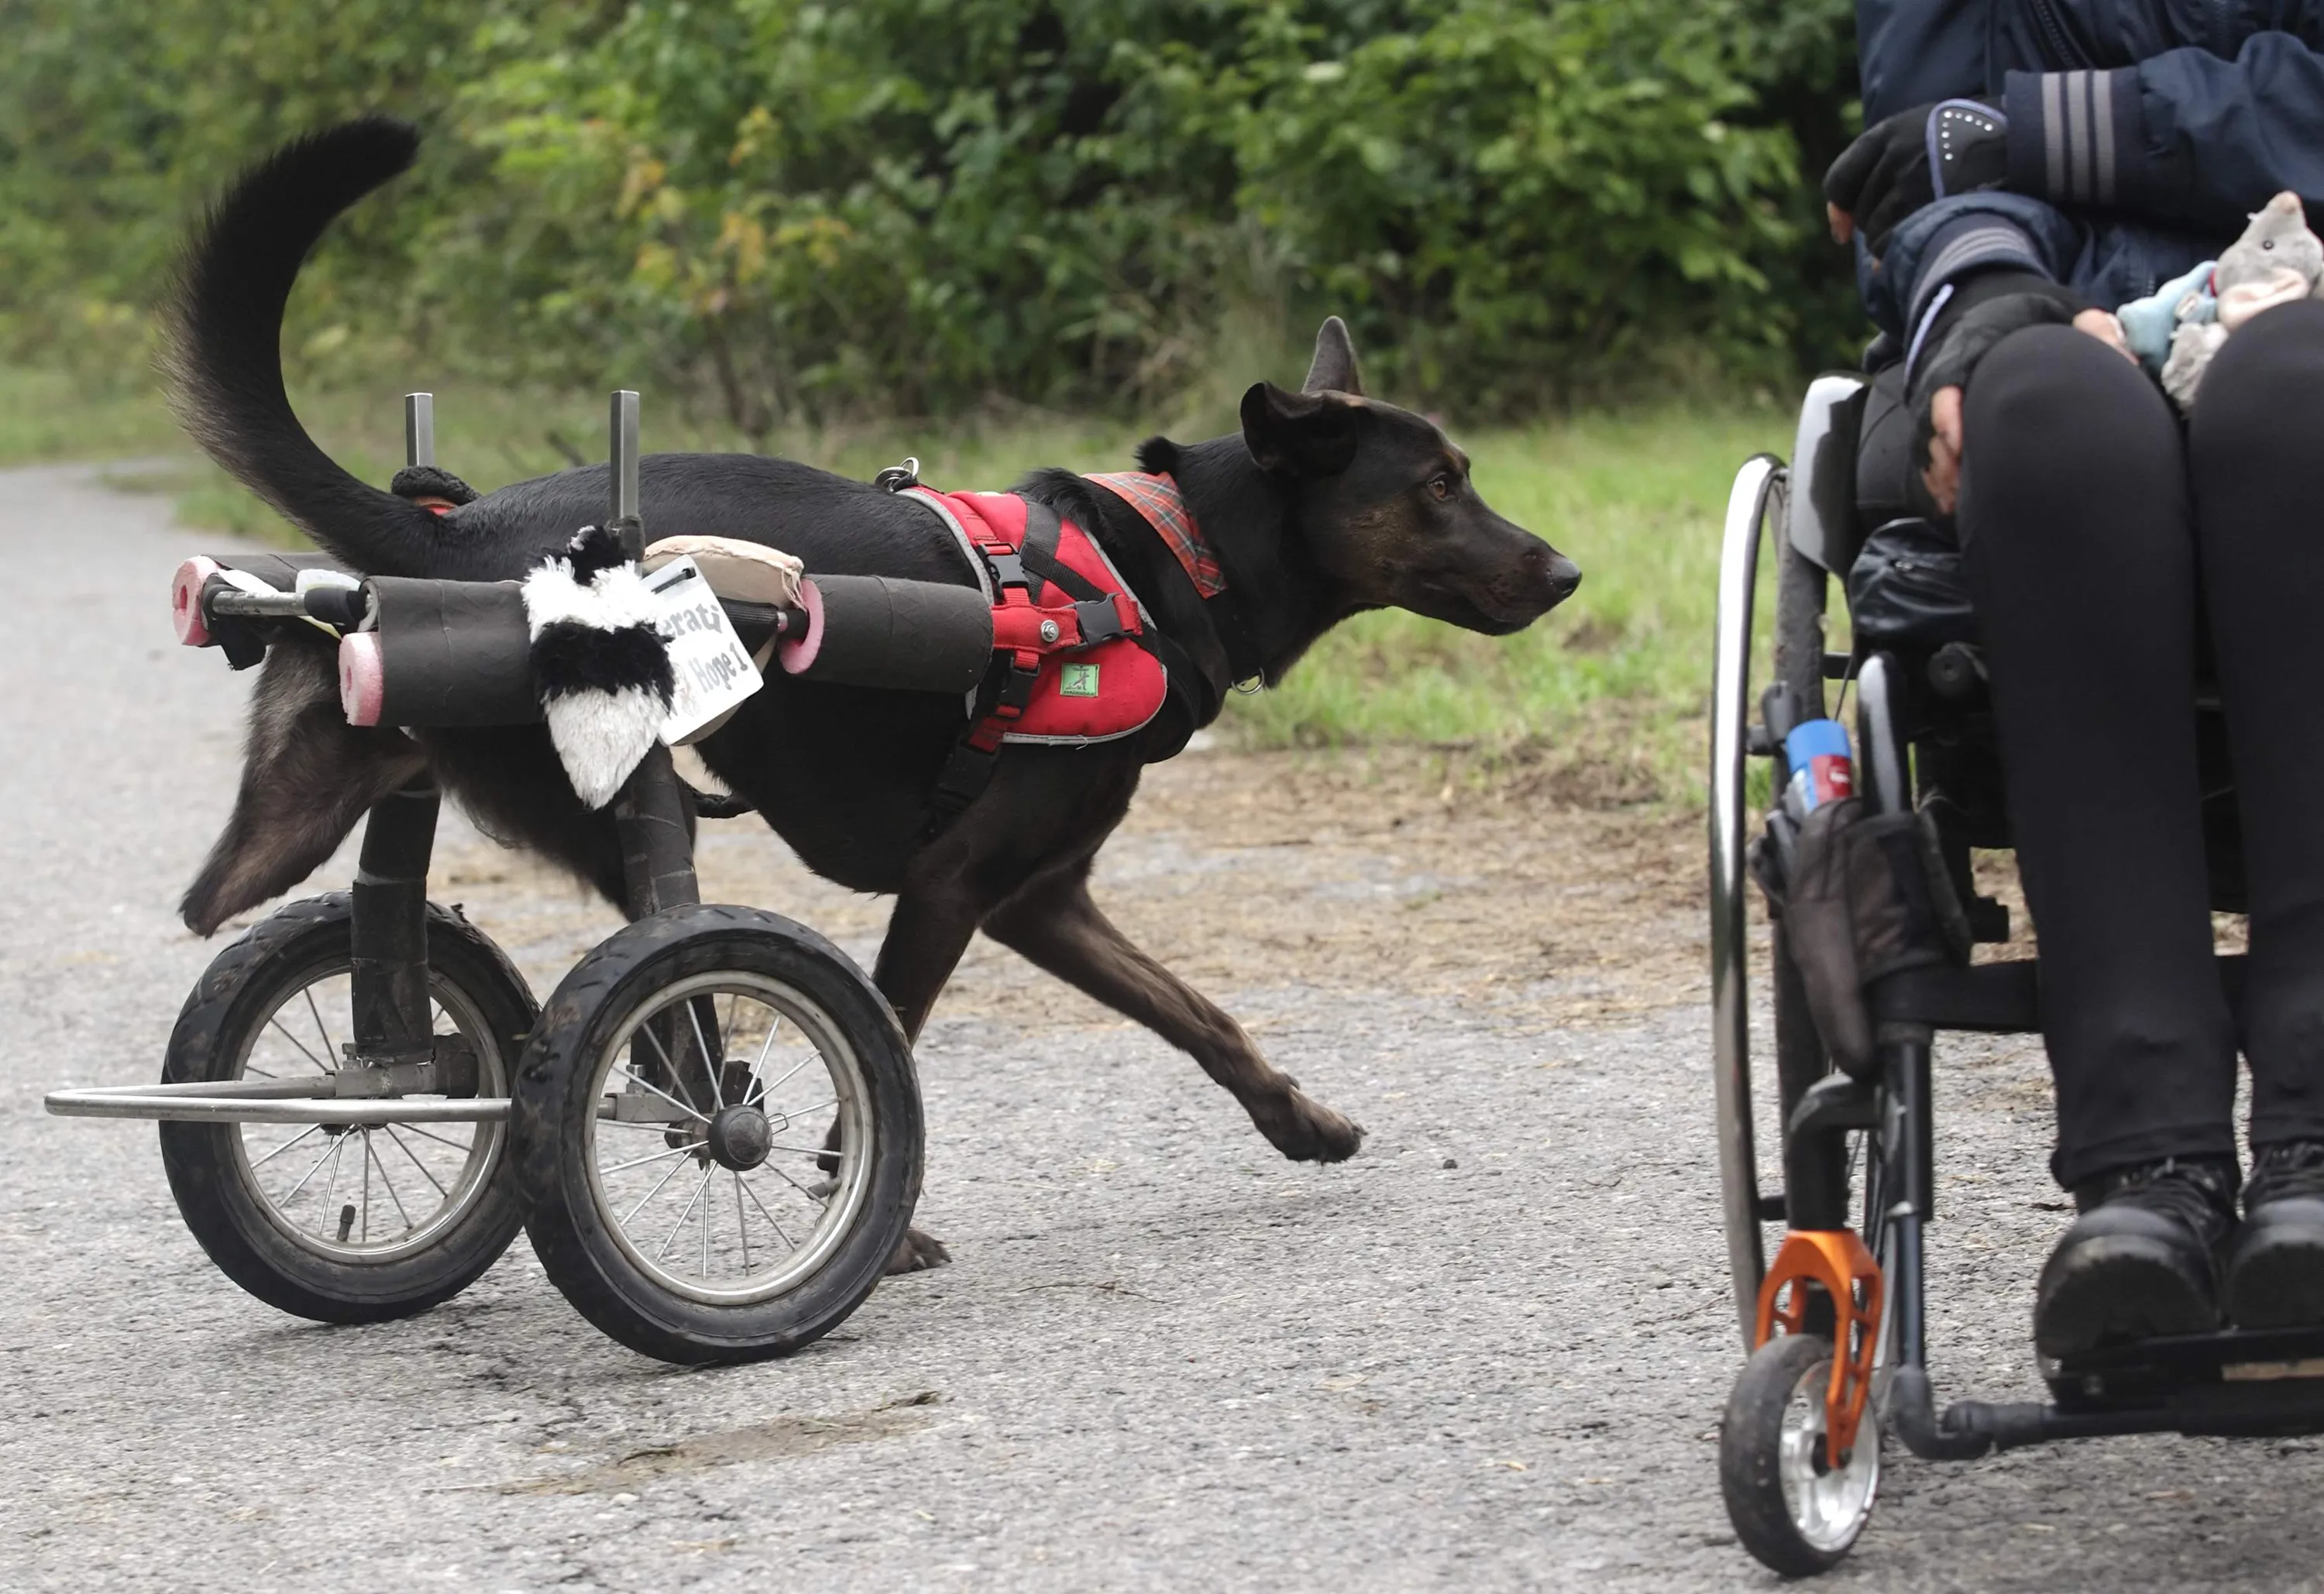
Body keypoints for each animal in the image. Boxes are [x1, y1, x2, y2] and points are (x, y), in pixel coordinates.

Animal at [168, 119, 1580, 1264]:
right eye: (1437, 485)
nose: (1567, 570)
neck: (1170, 557)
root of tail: (454, 530)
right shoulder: (953, 884)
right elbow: (884, 1040)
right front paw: (868, 1212)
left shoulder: (1042, 898)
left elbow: (1198, 1013)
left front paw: (1303, 1119)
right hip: (626, 809)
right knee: (652, 1033)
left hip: (330, 795)